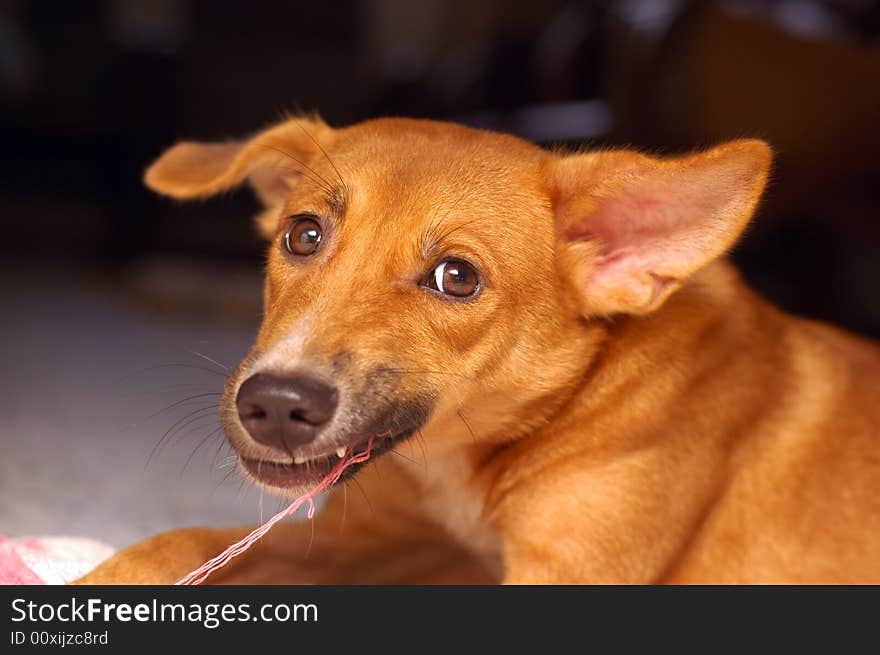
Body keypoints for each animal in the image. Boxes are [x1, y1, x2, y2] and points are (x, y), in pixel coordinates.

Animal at [77, 114, 880, 584]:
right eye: (303, 234)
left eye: (457, 278)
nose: (274, 404)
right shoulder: (374, 536)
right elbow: (177, 543)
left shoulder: (567, 577)